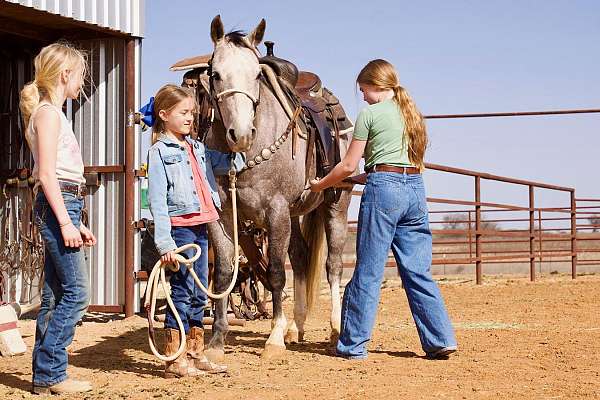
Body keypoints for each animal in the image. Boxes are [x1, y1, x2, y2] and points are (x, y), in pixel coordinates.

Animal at [204, 15, 352, 360]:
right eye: (215, 74)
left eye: (257, 74)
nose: (241, 134)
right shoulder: (222, 215)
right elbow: (224, 272)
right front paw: (216, 341)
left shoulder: (275, 212)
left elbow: (274, 273)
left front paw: (273, 338)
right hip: (295, 214)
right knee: (300, 256)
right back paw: (296, 327)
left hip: (335, 206)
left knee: (333, 264)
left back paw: (334, 328)